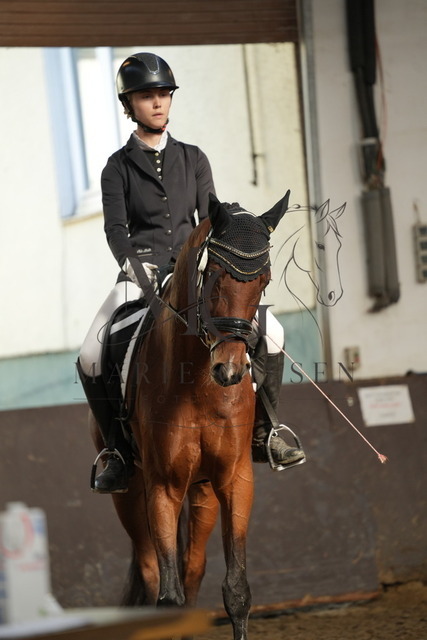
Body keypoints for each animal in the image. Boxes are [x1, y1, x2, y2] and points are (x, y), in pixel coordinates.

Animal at [91, 191, 289, 640]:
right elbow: (168, 596)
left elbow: (236, 589)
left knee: (193, 567)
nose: (230, 371)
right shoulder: (162, 487)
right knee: (151, 571)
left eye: (265, 281)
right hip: (130, 493)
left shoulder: (234, 479)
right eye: (212, 275)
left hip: (201, 492)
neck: (197, 383)